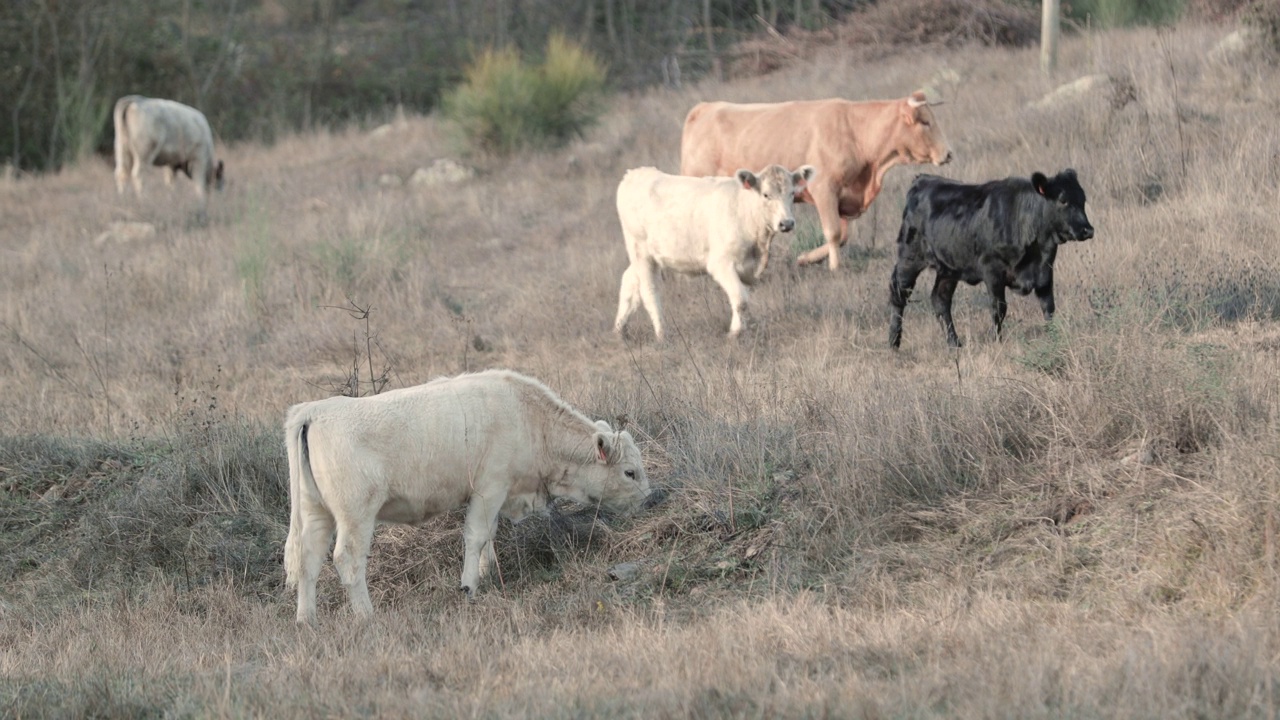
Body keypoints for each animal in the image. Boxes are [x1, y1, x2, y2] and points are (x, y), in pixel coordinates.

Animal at [286, 366, 655, 620]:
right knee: (347, 559)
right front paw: (469, 585)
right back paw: (366, 616)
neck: (527, 417)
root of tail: (314, 411)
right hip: (356, 515)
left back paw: (307, 620)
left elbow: (488, 534)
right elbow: (476, 535)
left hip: (316, 512)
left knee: (307, 559)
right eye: (630, 472)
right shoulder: (489, 489)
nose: (648, 499)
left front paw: (485, 572)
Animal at [611, 163, 814, 340]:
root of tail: (634, 173)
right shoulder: (720, 263)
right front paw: (735, 333)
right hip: (640, 251)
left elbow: (739, 296)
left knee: (629, 280)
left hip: (649, 254)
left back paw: (620, 330)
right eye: (766, 195)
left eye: (792, 193)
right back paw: (662, 334)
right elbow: (740, 299)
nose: (786, 223)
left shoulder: (748, 267)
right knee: (649, 291)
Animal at [680, 89, 952, 269]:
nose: (948, 153)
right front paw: (835, 268)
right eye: (925, 122)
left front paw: (807, 258)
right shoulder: (824, 189)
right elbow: (833, 233)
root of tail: (703, 108)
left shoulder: (844, 196)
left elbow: (842, 236)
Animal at [890, 169, 1090, 348]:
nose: (1087, 230)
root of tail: (922, 179)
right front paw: (997, 341)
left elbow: (1048, 307)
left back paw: (954, 343)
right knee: (898, 294)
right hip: (910, 257)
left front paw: (1053, 337)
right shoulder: (992, 271)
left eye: (1083, 200)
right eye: (1063, 200)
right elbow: (998, 308)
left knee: (940, 299)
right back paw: (893, 342)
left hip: (949, 268)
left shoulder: (1045, 271)